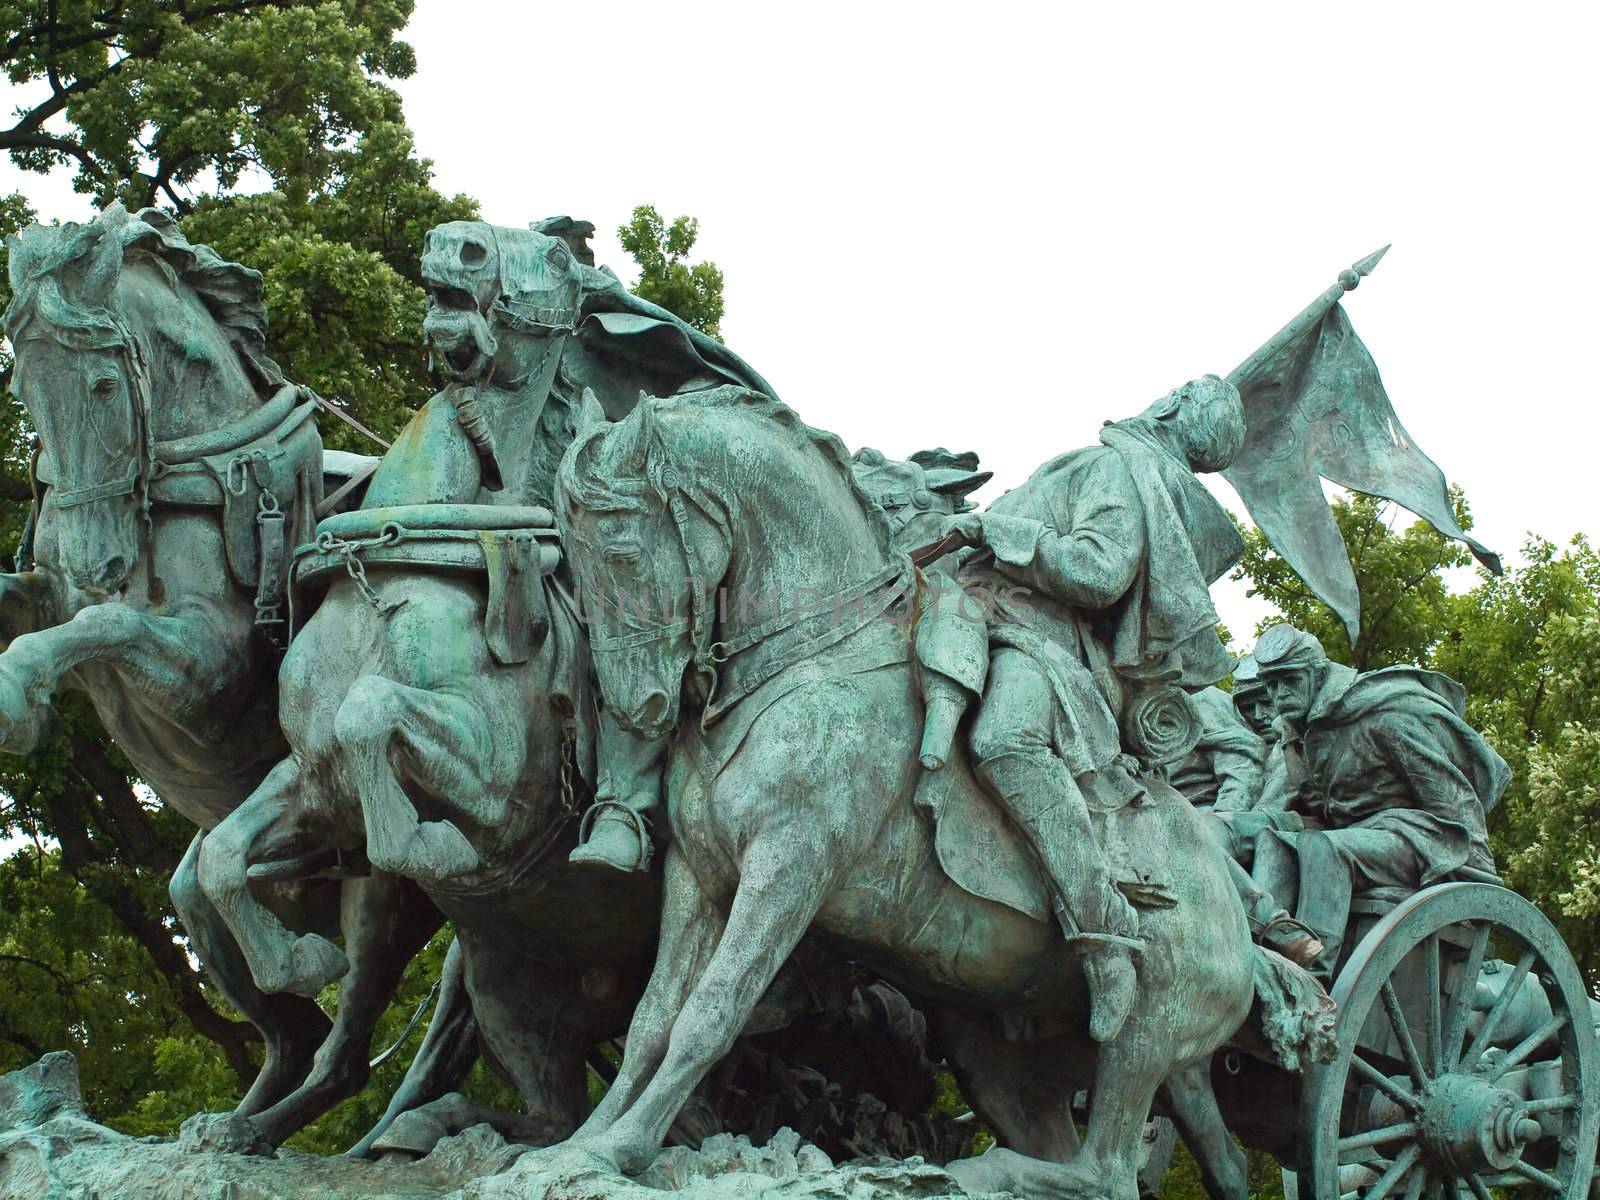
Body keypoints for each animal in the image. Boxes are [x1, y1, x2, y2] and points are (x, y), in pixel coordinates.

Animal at [0, 209, 438, 1145]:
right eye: (24, 390)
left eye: (101, 387)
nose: (96, 558)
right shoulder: (43, 595)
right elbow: (49, 611)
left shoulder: (205, 671)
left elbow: (107, 623)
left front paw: (19, 697)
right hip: (201, 906)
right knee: (285, 1027)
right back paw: (229, 1129)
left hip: (383, 898)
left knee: (342, 1049)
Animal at [556, 390, 1331, 1196]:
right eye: (571, 550)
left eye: (619, 549)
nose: (638, 707)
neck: (815, 656)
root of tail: (1240, 912)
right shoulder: (697, 877)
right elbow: (650, 1021)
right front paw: (578, 1146)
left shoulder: (791, 865)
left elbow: (709, 1014)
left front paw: (621, 1148)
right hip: (1000, 1055)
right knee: (1108, 1153)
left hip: (1146, 1030)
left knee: (1107, 1168)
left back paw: (983, 1162)